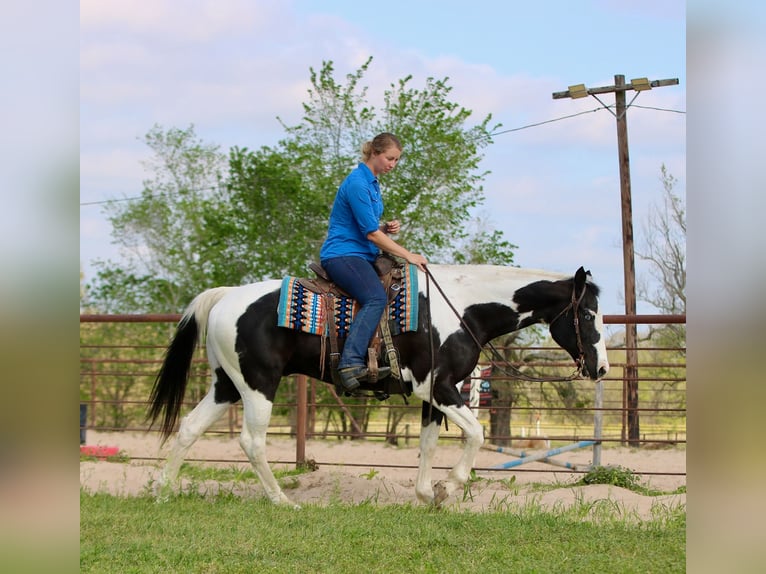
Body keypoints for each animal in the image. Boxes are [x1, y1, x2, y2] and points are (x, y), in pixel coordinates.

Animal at [147, 264, 609, 507]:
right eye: (588, 315)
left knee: (189, 428)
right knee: (252, 442)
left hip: (226, 385)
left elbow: (427, 445)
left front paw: (426, 494)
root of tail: (224, 297)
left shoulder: (433, 395)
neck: (463, 310)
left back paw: (163, 492)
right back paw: (282, 501)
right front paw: (448, 488)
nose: (602, 369)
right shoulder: (439, 388)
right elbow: (476, 434)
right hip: (259, 385)